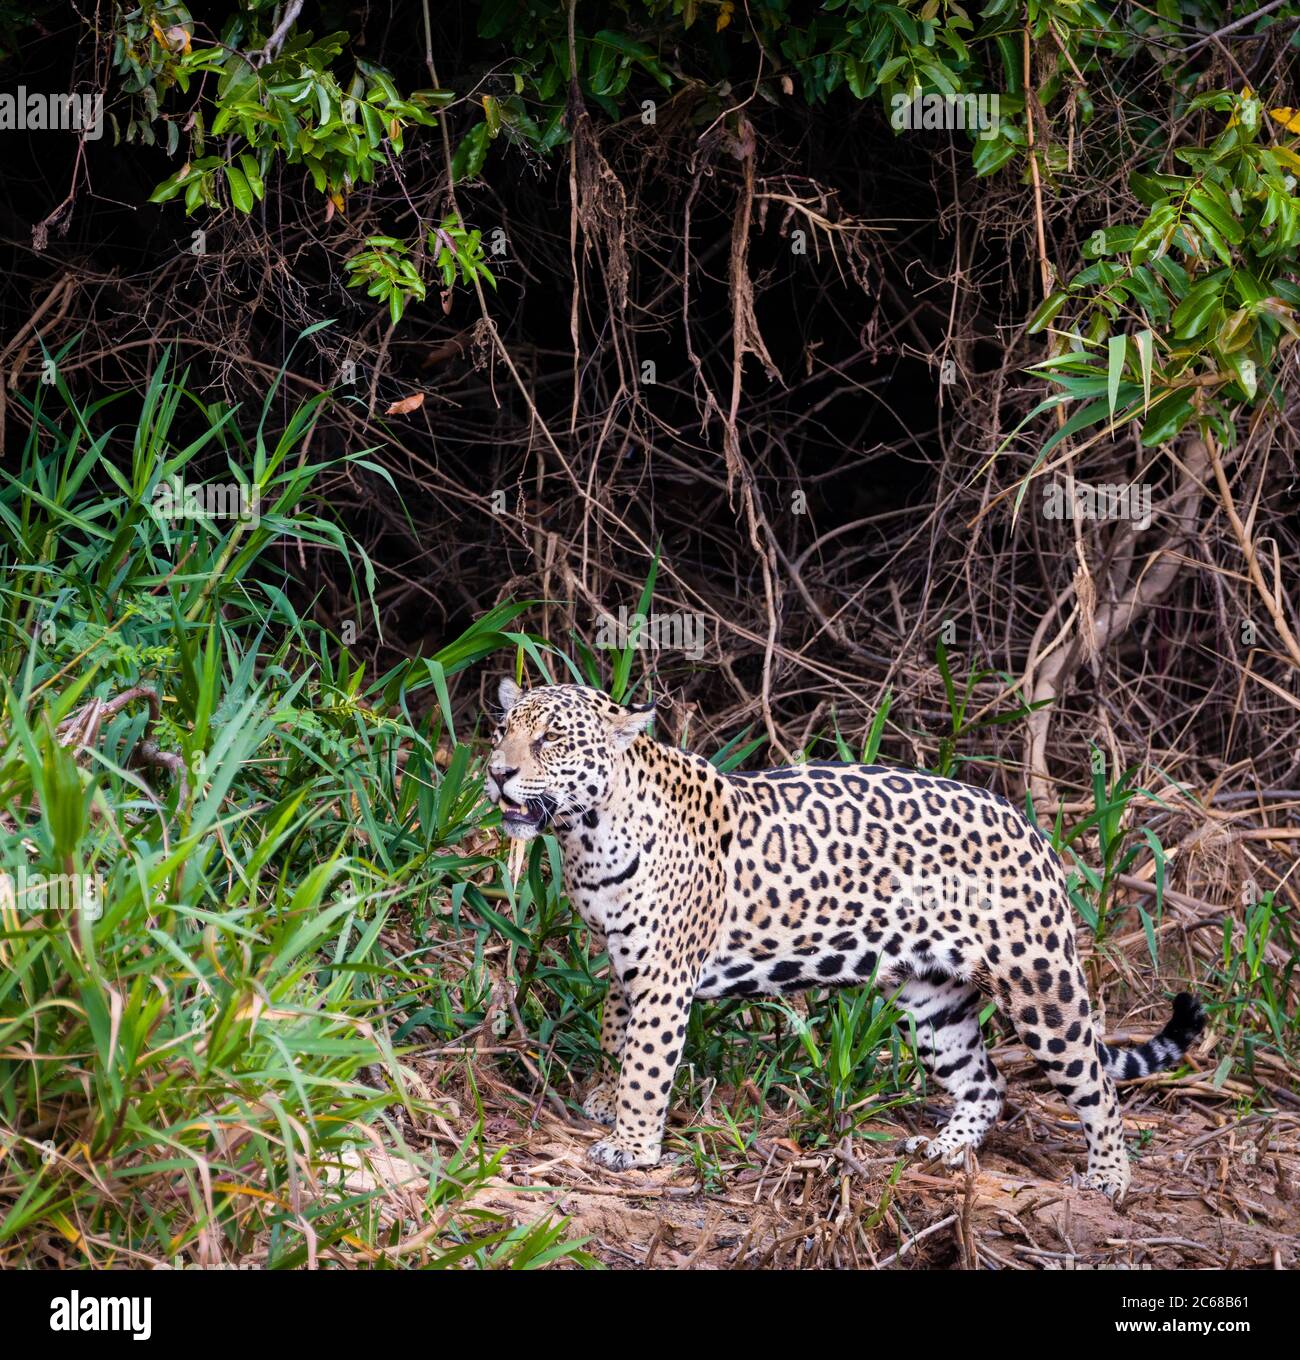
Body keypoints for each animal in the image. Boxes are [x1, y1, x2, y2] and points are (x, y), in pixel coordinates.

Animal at [485, 679, 1205, 1198]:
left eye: (549, 740)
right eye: (501, 731)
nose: (494, 773)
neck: (586, 834)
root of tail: (1032, 829)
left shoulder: (664, 972)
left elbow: (647, 1062)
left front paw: (631, 1146)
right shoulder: (621, 958)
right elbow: (617, 1036)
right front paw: (607, 1102)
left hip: (1039, 983)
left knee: (1097, 1083)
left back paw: (1109, 1179)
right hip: (934, 999)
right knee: (986, 1083)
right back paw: (943, 1149)